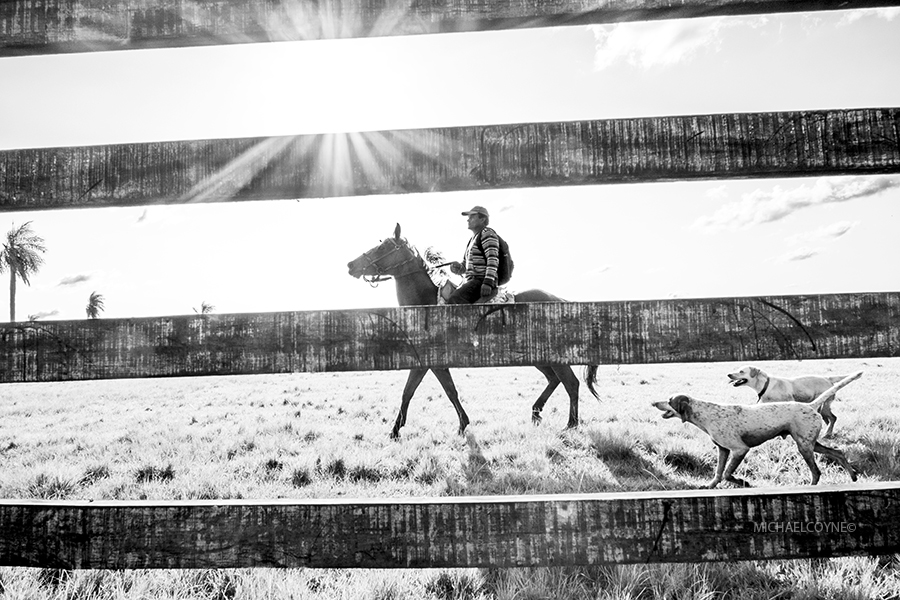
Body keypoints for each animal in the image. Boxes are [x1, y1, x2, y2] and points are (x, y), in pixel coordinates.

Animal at [348, 223, 600, 438]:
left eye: (384, 246)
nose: (351, 265)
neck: (427, 304)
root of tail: (560, 300)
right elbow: (441, 390)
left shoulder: (428, 362)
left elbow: (421, 391)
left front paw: (397, 430)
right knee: (554, 380)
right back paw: (536, 412)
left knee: (571, 383)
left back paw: (571, 424)